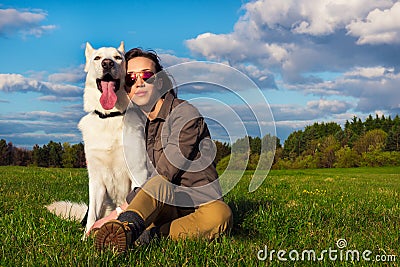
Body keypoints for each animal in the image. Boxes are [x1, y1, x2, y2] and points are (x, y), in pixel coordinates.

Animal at [47, 43, 150, 238]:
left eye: (118, 58)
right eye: (97, 58)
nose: (107, 63)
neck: (109, 117)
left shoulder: (138, 173)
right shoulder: (96, 180)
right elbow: (92, 216)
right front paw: (85, 238)